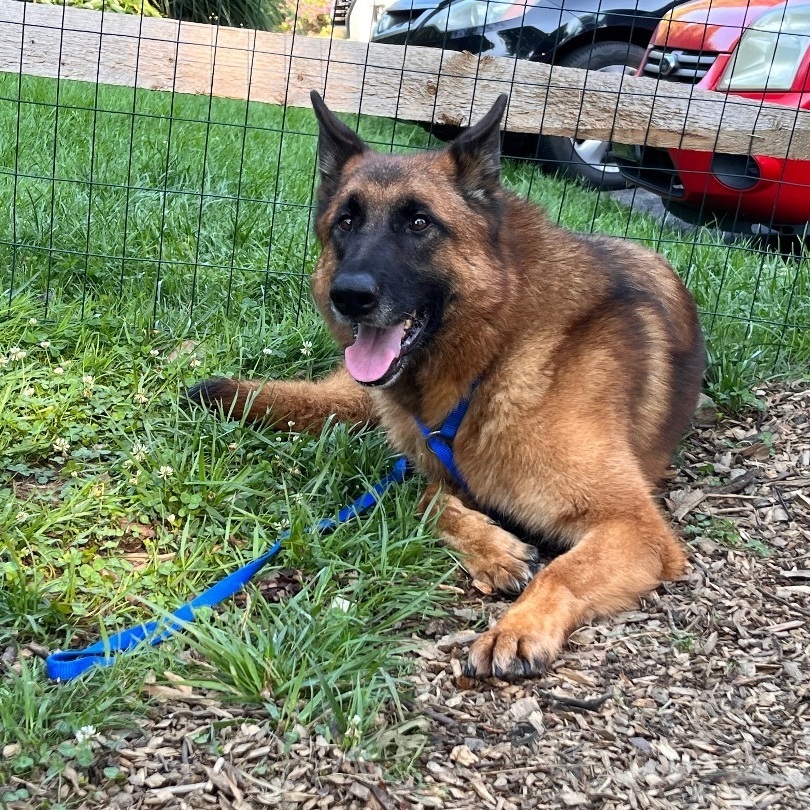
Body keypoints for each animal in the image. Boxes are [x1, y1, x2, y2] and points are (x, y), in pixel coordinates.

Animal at [188, 91, 700, 680]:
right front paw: (495, 550)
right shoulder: (432, 470)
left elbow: (564, 570)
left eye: (418, 222)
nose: (349, 296)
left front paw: (516, 628)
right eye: (345, 222)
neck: (496, 355)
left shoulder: (633, 527)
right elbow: (427, 497)